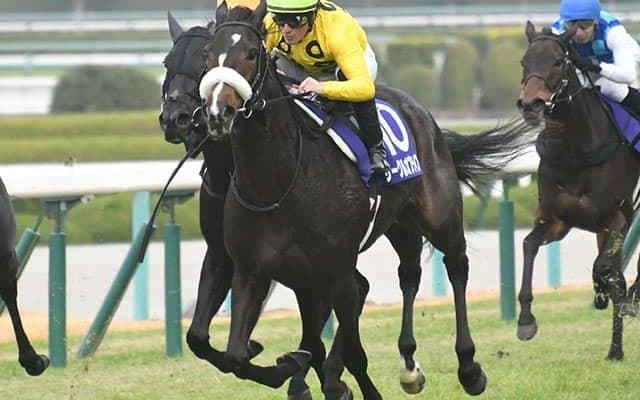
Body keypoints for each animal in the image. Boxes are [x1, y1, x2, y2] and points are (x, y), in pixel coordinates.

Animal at [159, 13, 430, 399]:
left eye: (200, 64)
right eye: (168, 63)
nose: (175, 119)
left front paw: (302, 371)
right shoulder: (224, 254)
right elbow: (198, 337)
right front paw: (267, 354)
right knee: (357, 289)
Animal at [195, 2, 533, 398]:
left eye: (250, 53)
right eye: (207, 54)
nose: (218, 113)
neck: (278, 185)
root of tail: (421, 111)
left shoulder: (336, 272)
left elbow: (355, 352)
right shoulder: (253, 270)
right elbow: (235, 356)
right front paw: (286, 363)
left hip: (440, 217)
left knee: (456, 266)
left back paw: (469, 368)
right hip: (399, 224)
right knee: (409, 273)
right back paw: (409, 365)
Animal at [516, 21, 640, 361]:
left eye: (559, 61)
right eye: (524, 61)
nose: (530, 104)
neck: (577, 149)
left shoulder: (617, 219)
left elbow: (605, 268)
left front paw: (604, 293)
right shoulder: (556, 220)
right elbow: (529, 245)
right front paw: (525, 321)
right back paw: (615, 347)